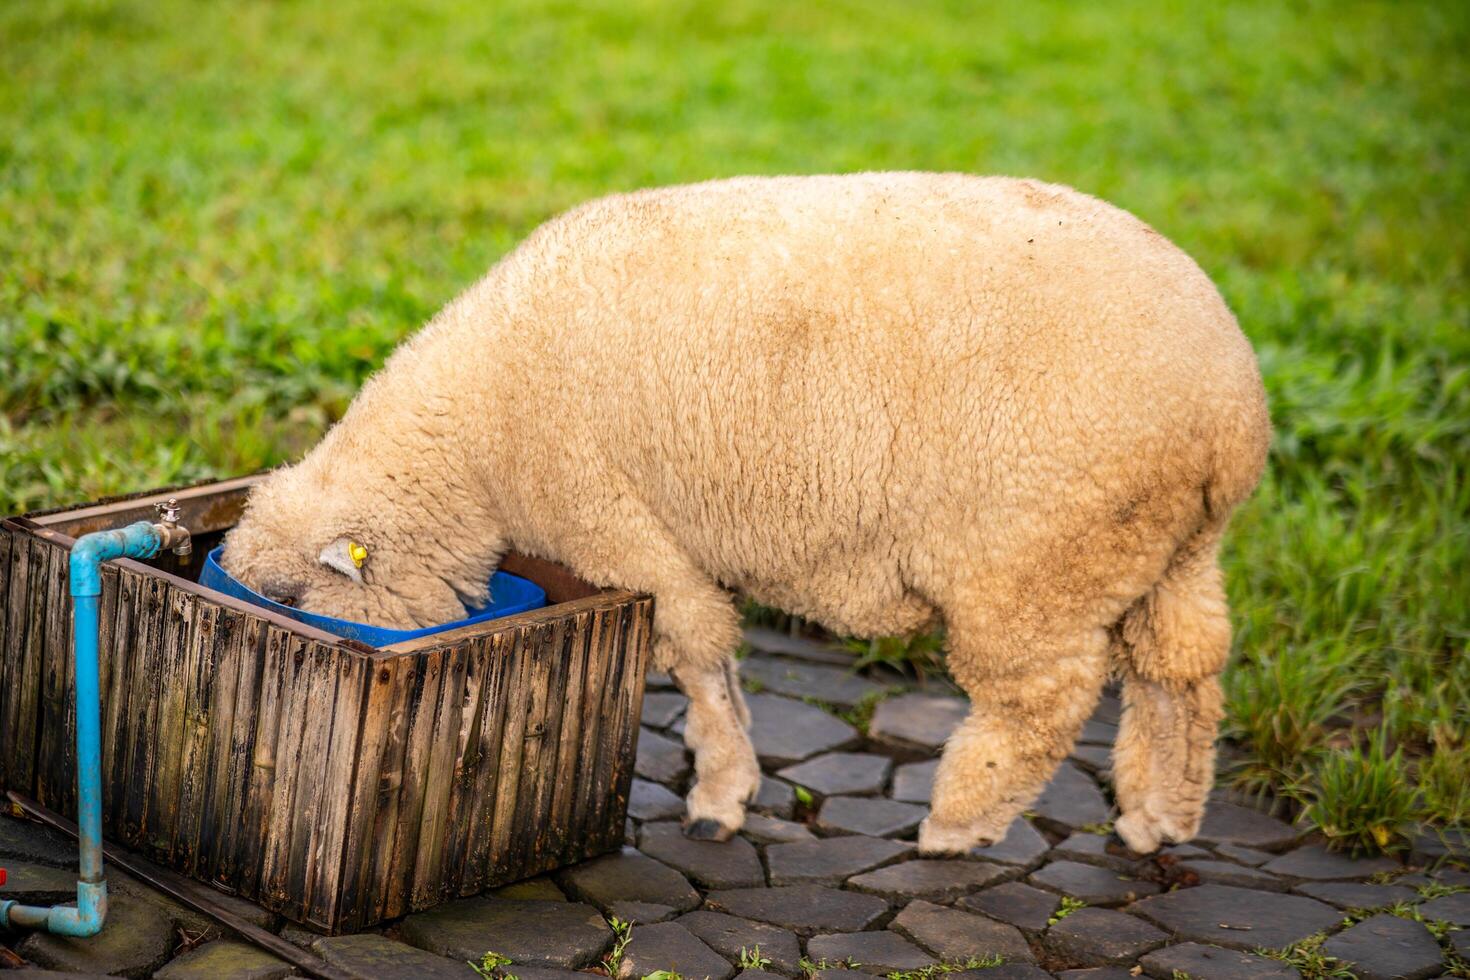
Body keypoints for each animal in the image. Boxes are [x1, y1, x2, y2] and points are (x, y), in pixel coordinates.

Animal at [223, 172, 1270, 852]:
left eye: (292, 598)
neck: (471, 440)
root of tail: (1232, 407)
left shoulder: (617, 526)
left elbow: (696, 652)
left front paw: (721, 790)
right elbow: (706, 657)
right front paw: (719, 769)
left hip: (1034, 553)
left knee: (1043, 695)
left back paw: (959, 821)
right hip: (1165, 548)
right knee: (1182, 671)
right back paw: (1159, 817)